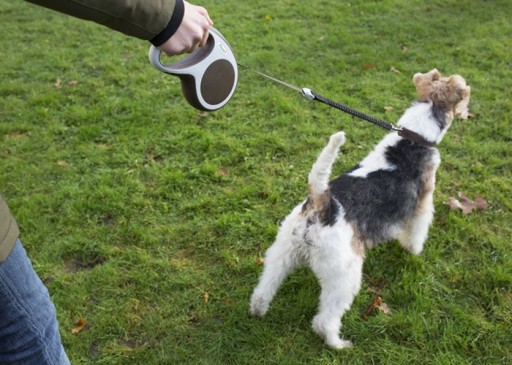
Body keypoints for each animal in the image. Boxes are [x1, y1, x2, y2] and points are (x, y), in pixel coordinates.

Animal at [250, 69, 470, 350]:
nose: (468, 113)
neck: (413, 139)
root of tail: (322, 202)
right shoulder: (422, 205)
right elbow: (417, 233)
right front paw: (414, 252)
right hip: (345, 275)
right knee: (324, 319)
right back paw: (339, 344)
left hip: (283, 252)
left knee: (264, 288)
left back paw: (258, 311)